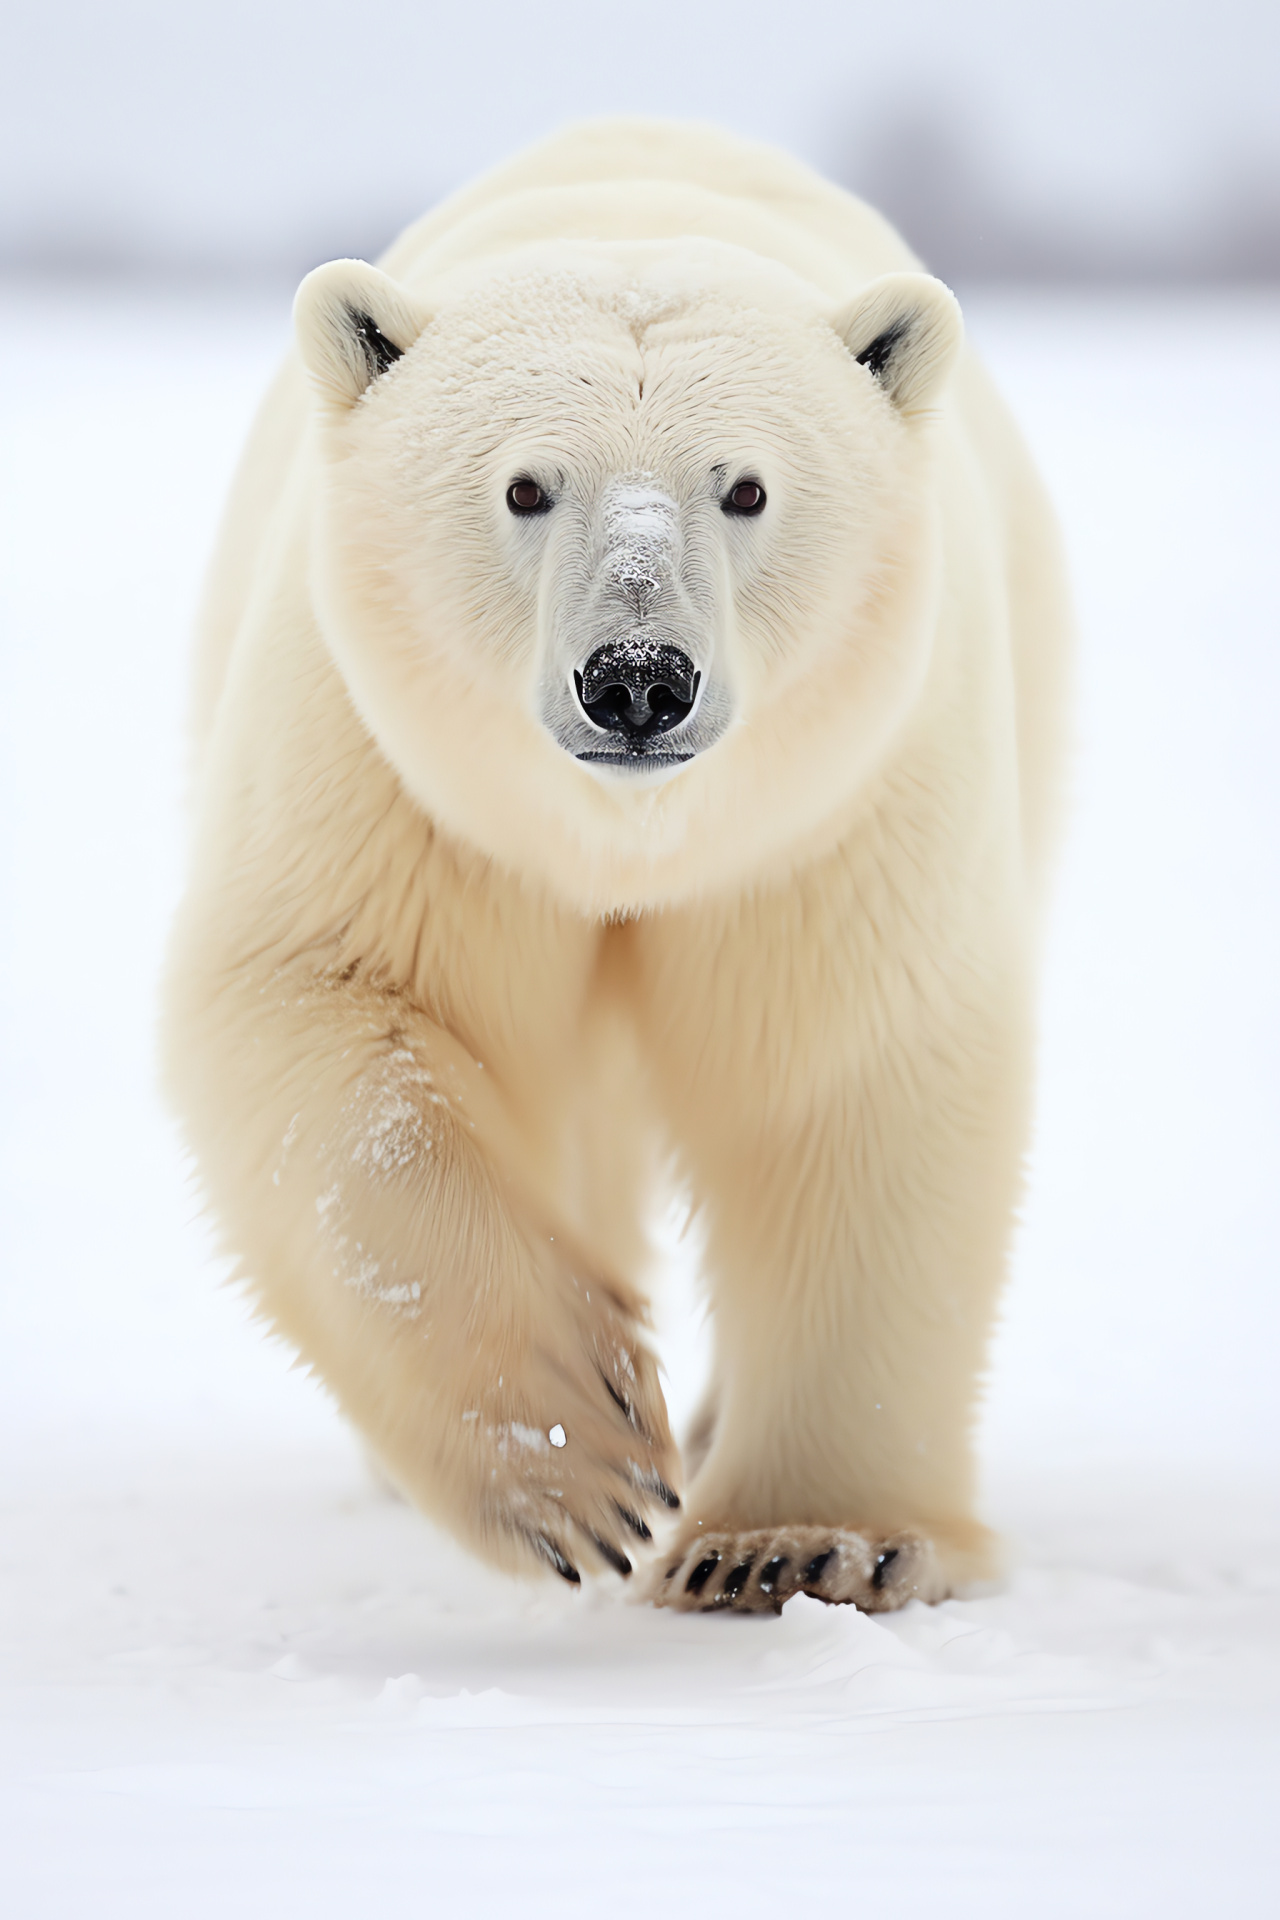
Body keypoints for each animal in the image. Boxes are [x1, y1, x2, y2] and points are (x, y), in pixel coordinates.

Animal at [165, 120, 1074, 1612]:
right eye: (526, 485)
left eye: (747, 485)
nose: (637, 678)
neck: (626, 838)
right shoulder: (398, 776)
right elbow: (332, 1014)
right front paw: (578, 1448)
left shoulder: (828, 820)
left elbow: (844, 1081)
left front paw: (800, 1542)